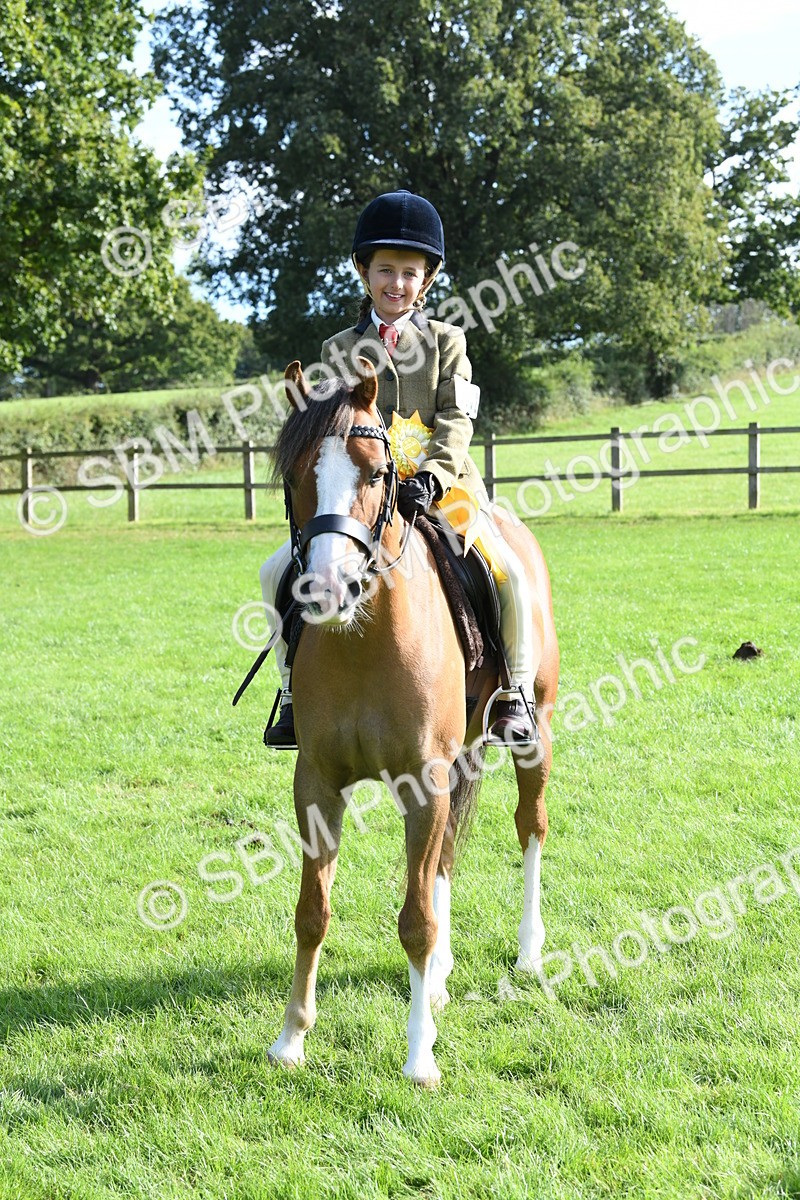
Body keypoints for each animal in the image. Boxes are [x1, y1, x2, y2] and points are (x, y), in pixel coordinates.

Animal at [266, 358, 559, 1086]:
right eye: (293, 475)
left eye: (377, 473)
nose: (327, 591)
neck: (363, 639)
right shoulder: (317, 782)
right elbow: (312, 912)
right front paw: (290, 1039)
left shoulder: (422, 782)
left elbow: (416, 919)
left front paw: (420, 1054)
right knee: (446, 856)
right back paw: (444, 977)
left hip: (531, 736)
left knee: (529, 829)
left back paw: (529, 954)